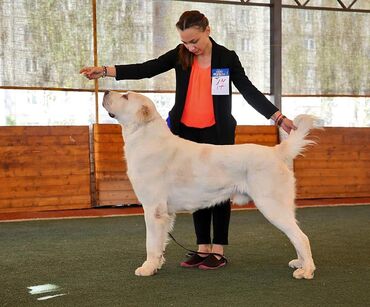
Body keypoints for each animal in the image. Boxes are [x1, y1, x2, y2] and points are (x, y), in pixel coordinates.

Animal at [102, 90, 316, 280]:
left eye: (125, 96)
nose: (105, 92)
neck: (145, 137)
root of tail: (275, 152)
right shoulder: (165, 213)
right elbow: (160, 242)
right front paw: (157, 265)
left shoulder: (153, 209)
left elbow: (151, 243)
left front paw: (147, 268)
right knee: (296, 235)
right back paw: (300, 263)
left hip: (271, 205)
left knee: (301, 237)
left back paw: (306, 271)